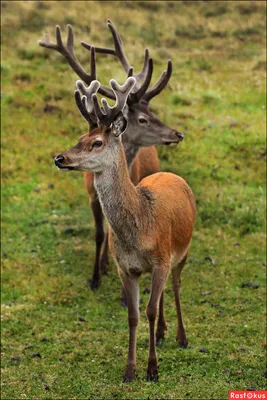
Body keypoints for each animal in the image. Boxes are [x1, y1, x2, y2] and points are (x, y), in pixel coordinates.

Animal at [38, 21, 184, 296]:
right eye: (143, 119)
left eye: (152, 112)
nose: (177, 133)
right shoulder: (92, 196)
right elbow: (98, 234)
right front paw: (95, 277)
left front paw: (119, 289)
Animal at [54, 77, 197, 382]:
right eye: (79, 139)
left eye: (96, 142)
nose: (60, 158)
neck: (139, 230)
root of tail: (171, 174)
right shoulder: (126, 267)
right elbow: (134, 315)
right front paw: (130, 370)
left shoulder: (160, 259)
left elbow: (150, 310)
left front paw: (152, 369)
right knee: (164, 291)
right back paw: (162, 333)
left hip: (183, 251)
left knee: (176, 285)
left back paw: (181, 337)